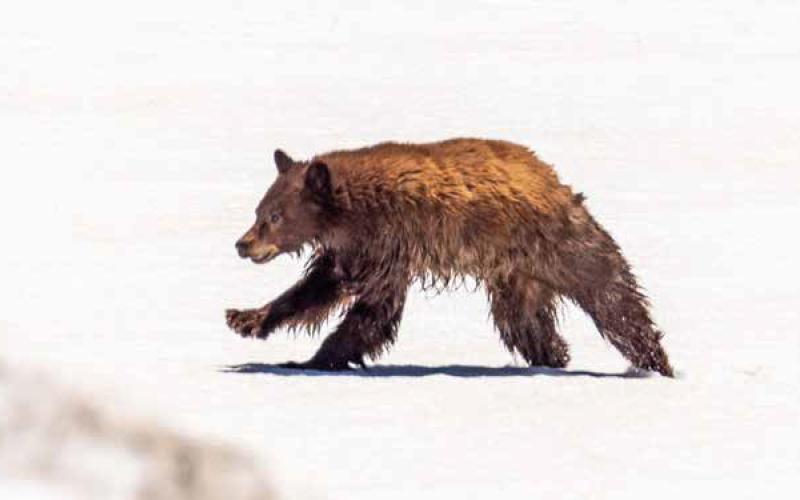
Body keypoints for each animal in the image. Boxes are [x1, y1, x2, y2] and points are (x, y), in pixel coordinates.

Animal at [225, 138, 674, 376]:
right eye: (258, 210)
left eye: (274, 216)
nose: (242, 244)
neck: (350, 215)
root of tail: (556, 181)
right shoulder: (353, 250)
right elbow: (316, 289)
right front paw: (247, 318)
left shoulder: (391, 241)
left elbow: (373, 311)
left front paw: (314, 359)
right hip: (516, 276)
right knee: (524, 324)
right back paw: (553, 357)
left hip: (560, 244)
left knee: (613, 298)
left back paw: (655, 361)